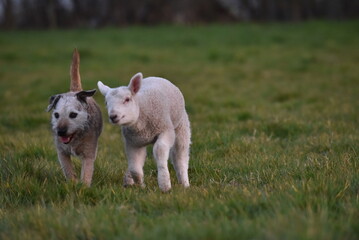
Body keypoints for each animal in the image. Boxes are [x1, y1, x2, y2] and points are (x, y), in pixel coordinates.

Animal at [46, 48, 102, 187]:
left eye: (73, 114)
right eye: (56, 115)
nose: (60, 132)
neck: (75, 137)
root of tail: (75, 90)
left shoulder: (89, 151)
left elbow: (87, 170)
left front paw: (84, 186)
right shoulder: (61, 151)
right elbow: (67, 168)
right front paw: (72, 183)